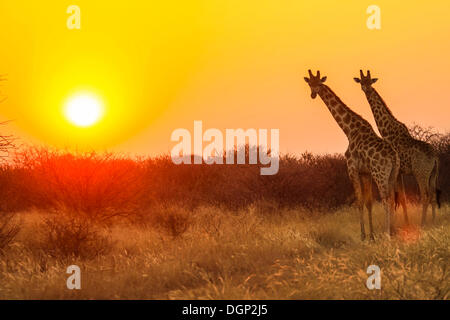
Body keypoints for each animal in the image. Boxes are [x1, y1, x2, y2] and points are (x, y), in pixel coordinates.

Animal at [304, 70, 400, 240]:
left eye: (319, 83)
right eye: (310, 83)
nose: (313, 94)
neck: (349, 130)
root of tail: (394, 157)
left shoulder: (352, 169)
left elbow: (359, 201)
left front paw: (363, 236)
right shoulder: (365, 173)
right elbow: (368, 202)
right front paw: (372, 236)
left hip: (380, 174)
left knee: (386, 200)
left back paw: (387, 233)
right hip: (392, 175)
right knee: (392, 198)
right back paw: (393, 231)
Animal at [354, 70, 438, 226]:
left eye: (370, 81)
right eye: (362, 81)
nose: (366, 88)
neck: (386, 129)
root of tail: (435, 158)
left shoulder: (397, 171)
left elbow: (397, 198)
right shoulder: (400, 172)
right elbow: (402, 198)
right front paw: (405, 223)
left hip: (421, 173)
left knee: (425, 195)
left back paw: (423, 223)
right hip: (433, 174)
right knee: (433, 194)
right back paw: (434, 220)